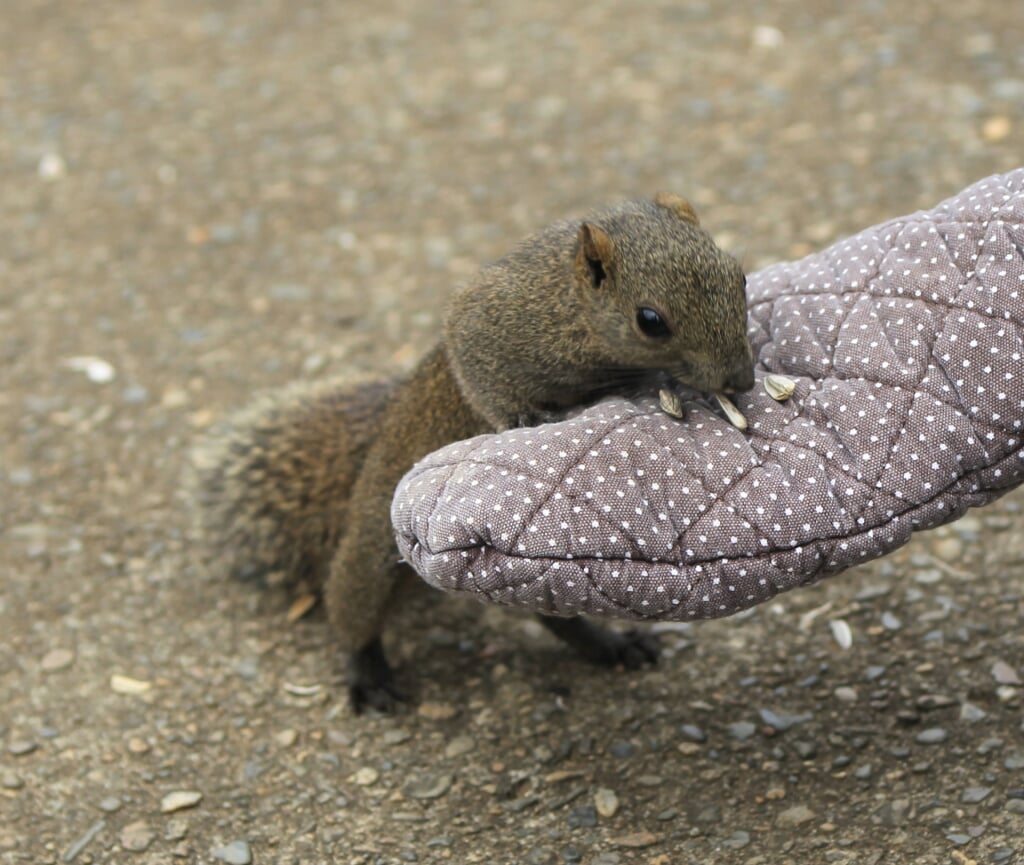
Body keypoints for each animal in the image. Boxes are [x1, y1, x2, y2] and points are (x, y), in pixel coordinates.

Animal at [190, 192, 753, 712]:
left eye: (741, 277)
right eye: (650, 320)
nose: (742, 379)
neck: (569, 305)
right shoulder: (491, 322)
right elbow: (476, 368)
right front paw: (521, 417)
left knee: (552, 617)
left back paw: (608, 645)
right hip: (373, 545)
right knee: (351, 605)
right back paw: (367, 673)